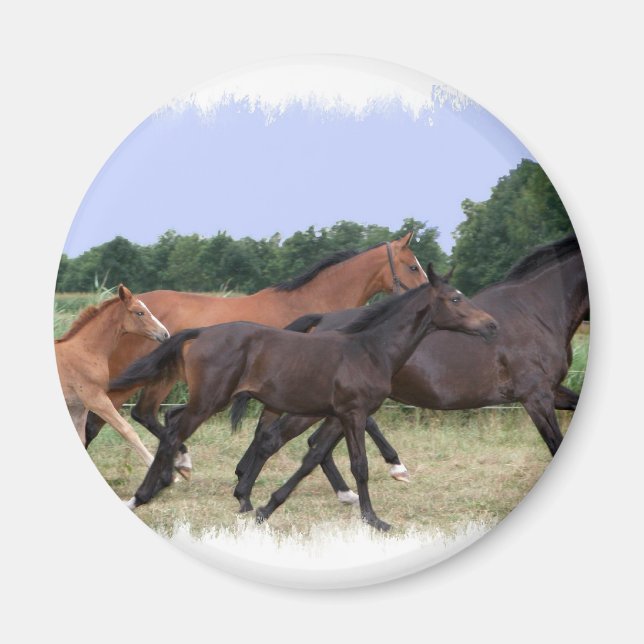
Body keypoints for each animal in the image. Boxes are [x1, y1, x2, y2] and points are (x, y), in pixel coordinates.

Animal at [55, 285, 170, 467]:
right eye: (139, 312)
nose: (165, 334)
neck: (85, 351)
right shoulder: (96, 400)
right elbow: (127, 430)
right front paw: (153, 463)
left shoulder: (78, 406)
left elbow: (80, 439)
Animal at [85, 232, 428, 477]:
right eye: (413, 266)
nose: (427, 297)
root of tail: (126, 305)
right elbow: (367, 422)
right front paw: (397, 466)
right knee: (112, 416)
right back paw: (178, 461)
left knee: (136, 415)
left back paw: (179, 461)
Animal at [108, 266, 499, 531]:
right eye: (455, 298)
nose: (491, 324)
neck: (368, 349)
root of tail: (201, 332)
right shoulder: (353, 413)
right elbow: (359, 465)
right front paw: (374, 519)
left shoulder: (335, 415)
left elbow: (313, 456)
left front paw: (265, 506)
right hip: (208, 401)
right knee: (171, 431)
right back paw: (142, 495)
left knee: (170, 421)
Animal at [231, 233, 588, 512]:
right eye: (412, 266)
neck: (534, 310)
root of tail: (321, 319)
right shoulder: (535, 397)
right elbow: (555, 445)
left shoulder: (552, 391)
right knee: (280, 437)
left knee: (303, 442)